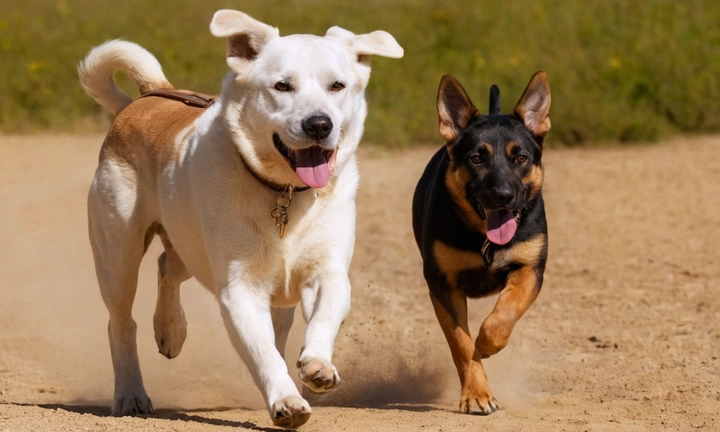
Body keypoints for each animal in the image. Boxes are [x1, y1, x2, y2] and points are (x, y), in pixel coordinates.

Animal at [79, 10, 404, 428]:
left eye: (338, 85)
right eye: (282, 85)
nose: (319, 124)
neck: (283, 193)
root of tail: (149, 97)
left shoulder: (327, 271)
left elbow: (324, 317)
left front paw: (317, 365)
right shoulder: (238, 289)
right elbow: (263, 352)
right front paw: (287, 402)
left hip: (189, 246)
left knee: (168, 265)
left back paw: (171, 331)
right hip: (118, 251)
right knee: (121, 321)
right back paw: (131, 393)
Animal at [410, 71, 552, 416]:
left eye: (521, 157)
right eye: (476, 158)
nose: (502, 195)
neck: (483, 237)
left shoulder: (529, 269)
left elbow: (502, 317)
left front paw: (486, 345)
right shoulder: (442, 284)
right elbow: (462, 344)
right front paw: (476, 395)